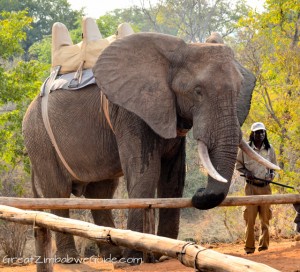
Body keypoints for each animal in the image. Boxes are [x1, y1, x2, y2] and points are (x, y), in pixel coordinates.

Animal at [22, 31, 278, 262]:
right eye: (197, 91)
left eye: (239, 90)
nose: (198, 193)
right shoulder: (130, 112)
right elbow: (146, 173)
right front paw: (137, 257)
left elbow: (173, 177)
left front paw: (163, 254)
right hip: (38, 137)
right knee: (58, 191)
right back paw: (74, 259)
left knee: (101, 192)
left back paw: (114, 255)